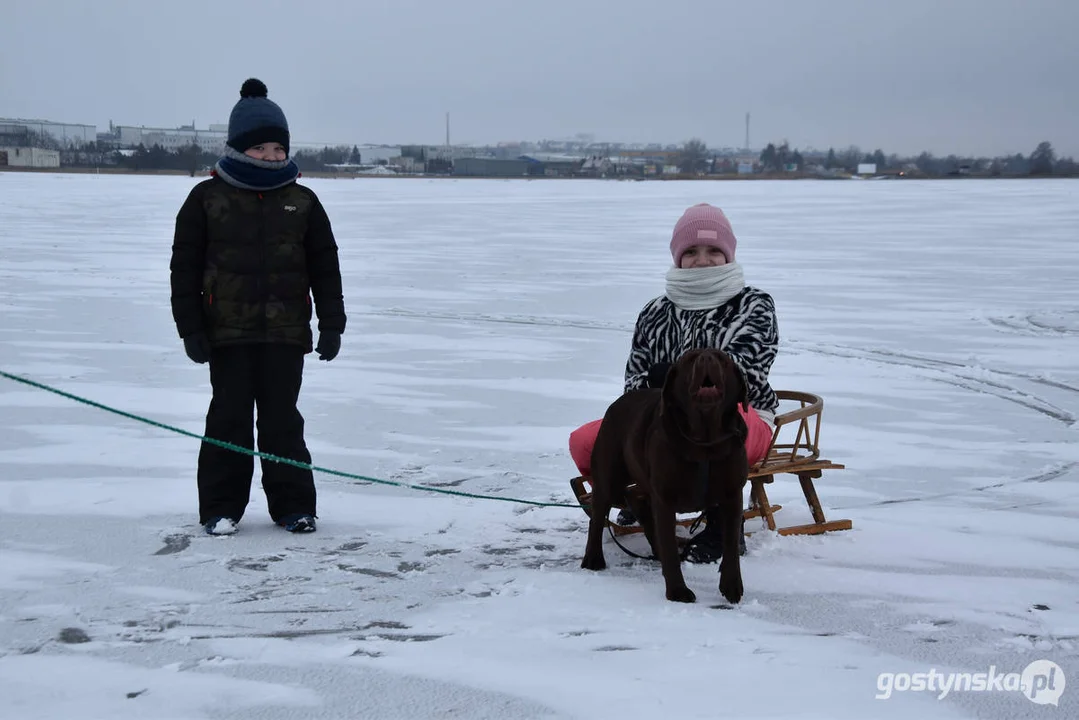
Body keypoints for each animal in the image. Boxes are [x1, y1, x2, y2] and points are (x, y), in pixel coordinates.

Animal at [582, 349, 750, 604]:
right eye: (690, 358)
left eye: (722, 358)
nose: (706, 358)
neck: (706, 442)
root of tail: (618, 403)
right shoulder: (665, 497)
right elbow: (669, 545)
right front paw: (678, 591)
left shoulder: (732, 495)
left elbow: (730, 545)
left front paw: (731, 586)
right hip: (609, 476)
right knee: (598, 516)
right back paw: (593, 559)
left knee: (637, 504)